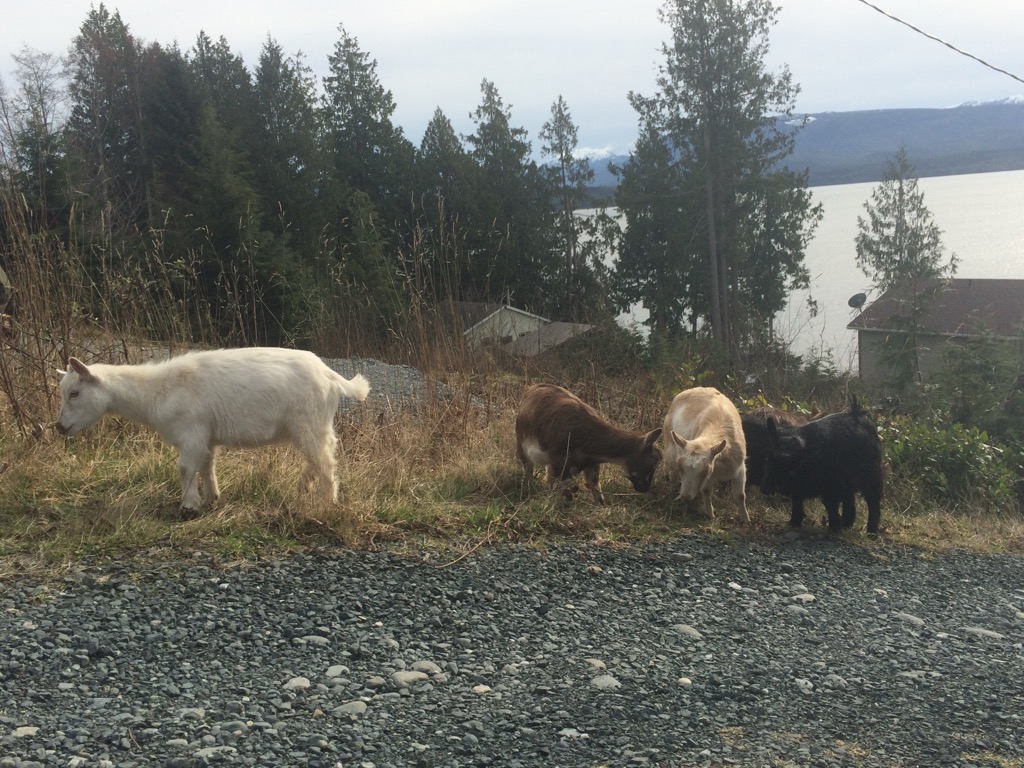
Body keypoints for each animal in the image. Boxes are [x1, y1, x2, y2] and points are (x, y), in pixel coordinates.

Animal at [55, 348, 370, 511]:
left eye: (74, 393)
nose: (59, 427)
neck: (155, 391)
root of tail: (332, 376)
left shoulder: (191, 432)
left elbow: (185, 468)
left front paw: (189, 505)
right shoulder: (206, 436)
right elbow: (207, 465)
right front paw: (211, 497)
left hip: (310, 422)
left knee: (326, 461)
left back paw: (327, 502)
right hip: (312, 424)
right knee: (319, 456)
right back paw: (303, 488)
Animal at [515, 383, 662, 503]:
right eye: (651, 463)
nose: (645, 488)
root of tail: (533, 388)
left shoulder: (591, 466)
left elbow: (597, 493)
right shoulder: (559, 464)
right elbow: (568, 492)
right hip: (521, 442)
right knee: (528, 467)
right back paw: (529, 488)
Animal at [663, 387, 749, 521]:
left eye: (705, 472)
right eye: (681, 468)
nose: (685, 497)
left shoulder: (739, 469)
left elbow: (740, 495)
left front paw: (745, 518)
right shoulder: (711, 476)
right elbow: (706, 491)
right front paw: (710, 513)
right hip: (670, 445)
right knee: (671, 470)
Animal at [761, 396, 884, 534]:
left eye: (792, 465)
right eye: (769, 457)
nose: (765, 488)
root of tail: (858, 415)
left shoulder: (832, 487)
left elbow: (830, 506)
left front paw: (834, 527)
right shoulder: (798, 489)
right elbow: (797, 502)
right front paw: (794, 523)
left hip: (872, 477)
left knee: (873, 503)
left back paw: (871, 532)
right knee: (850, 502)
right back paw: (847, 524)